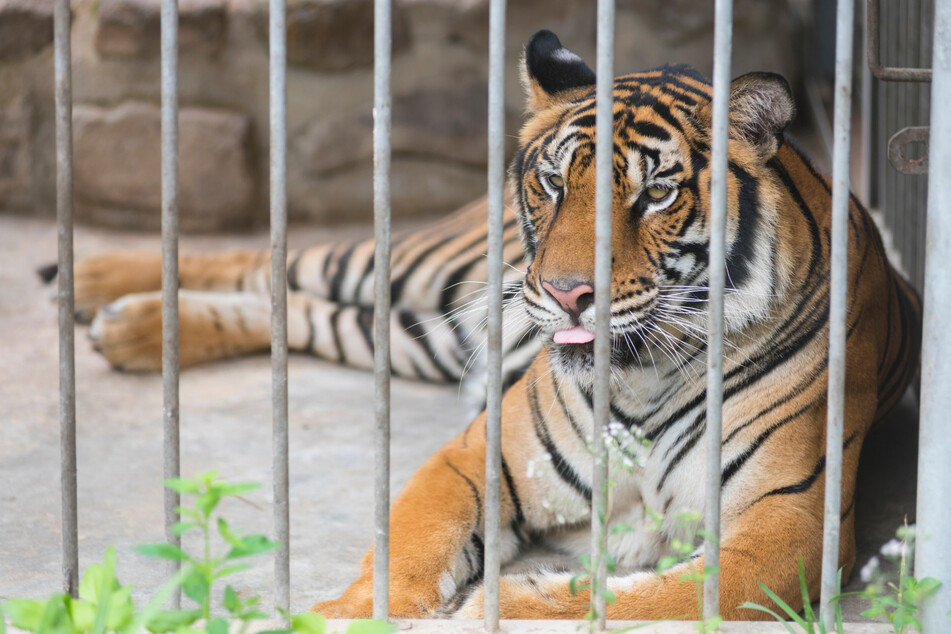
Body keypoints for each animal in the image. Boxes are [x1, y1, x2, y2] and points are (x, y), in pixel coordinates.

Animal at [59, 29, 924, 624]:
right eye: (552, 181)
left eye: (654, 194)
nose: (566, 294)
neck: (643, 376)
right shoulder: (476, 456)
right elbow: (407, 541)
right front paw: (348, 616)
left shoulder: (790, 519)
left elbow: (654, 600)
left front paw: (508, 601)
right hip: (416, 268)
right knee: (274, 262)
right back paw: (93, 285)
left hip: (417, 332)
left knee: (301, 307)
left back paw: (120, 327)